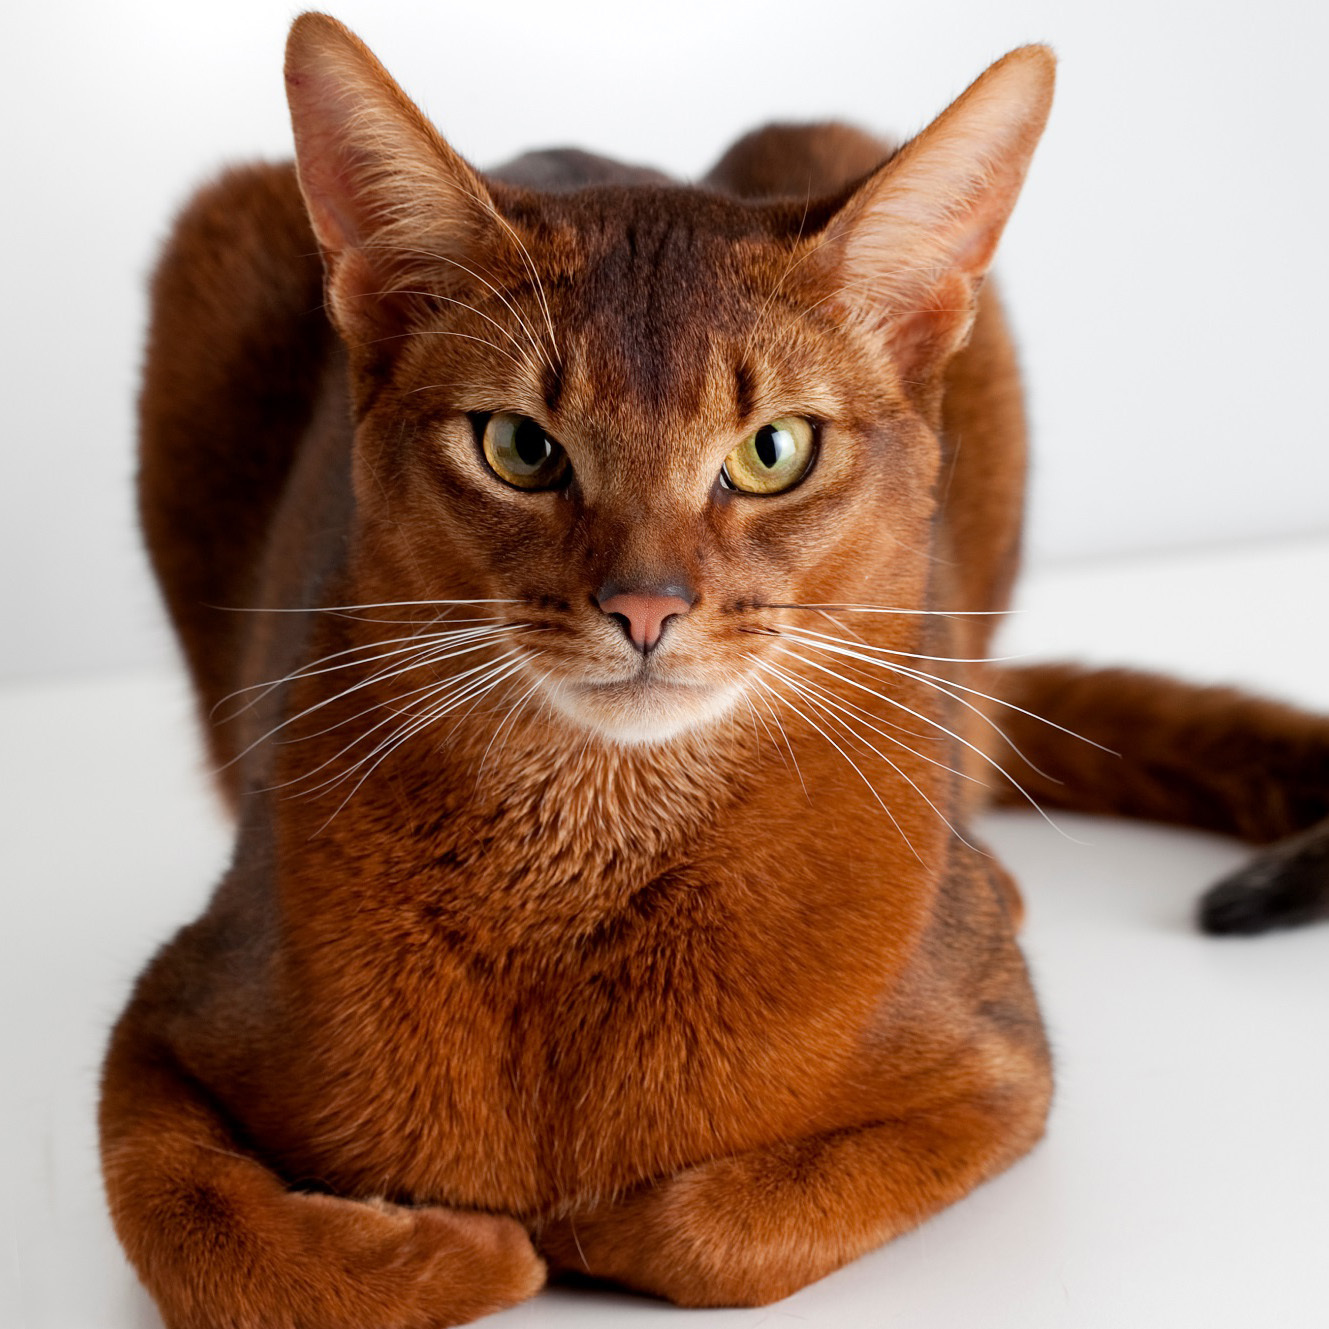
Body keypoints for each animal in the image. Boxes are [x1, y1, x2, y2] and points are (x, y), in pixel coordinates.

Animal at [96, 12, 1329, 1329]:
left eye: (773, 450)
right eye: (520, 448)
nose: (645, 607)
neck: (592, 850)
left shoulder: (1003, 1068)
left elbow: (706, 1234)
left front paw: (572, 1228)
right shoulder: (166, 1024)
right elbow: (210, 1240)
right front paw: (466, 1250)